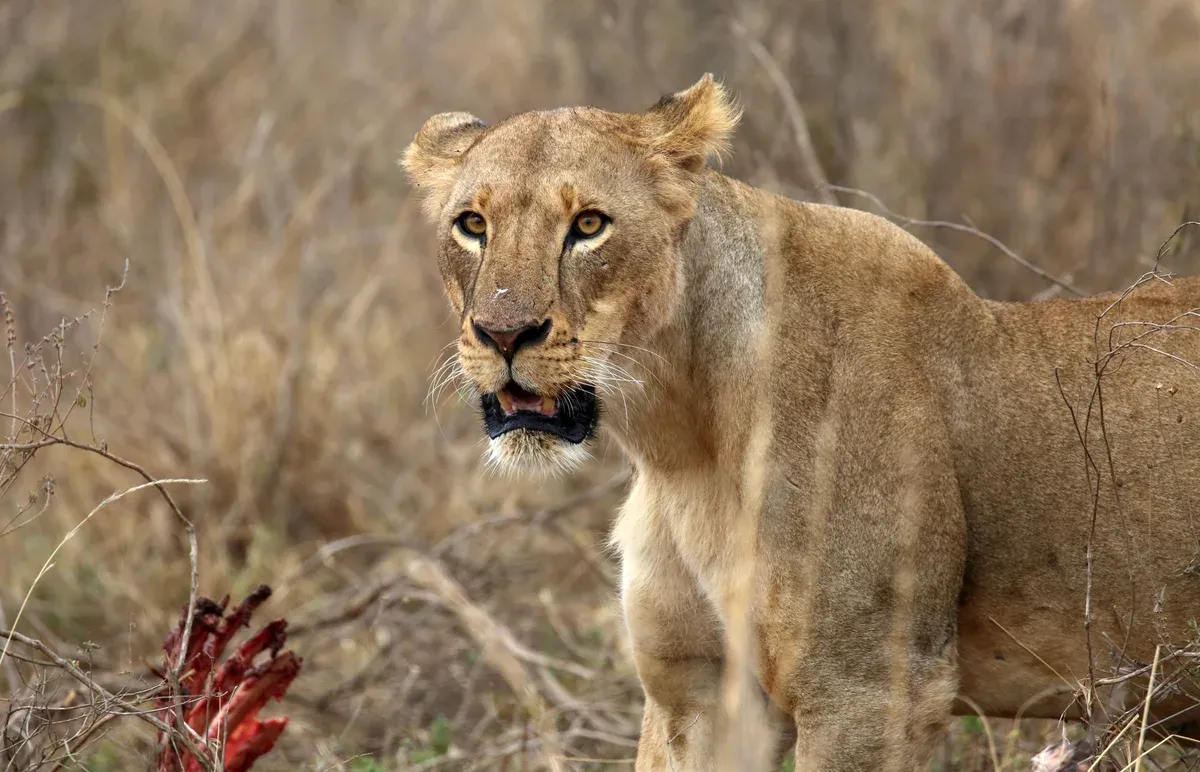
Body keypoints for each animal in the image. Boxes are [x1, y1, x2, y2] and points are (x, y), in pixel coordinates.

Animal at [402, 74, 1200, 771]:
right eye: (472, 225)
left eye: (589, 225)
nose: (504, 334)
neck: (677, 439)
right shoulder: (698, 689)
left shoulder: (869, 687)